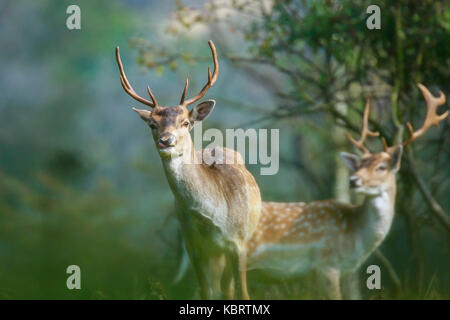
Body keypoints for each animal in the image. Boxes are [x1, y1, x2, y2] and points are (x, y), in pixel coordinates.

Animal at [116, 40, 262, 300]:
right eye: (152, 124)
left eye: (185, 122)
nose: (166, 140)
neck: (214, 218)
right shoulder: (192, 245)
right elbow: (205, 291)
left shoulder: (239, 242)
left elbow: (243, 292)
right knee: (222, 287)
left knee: (229, 287)